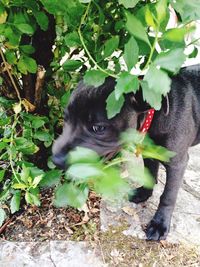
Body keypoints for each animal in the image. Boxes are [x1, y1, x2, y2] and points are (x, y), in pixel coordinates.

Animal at [52, 64, 200, 241]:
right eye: (66, 119)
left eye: (98, 128)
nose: (56, 160)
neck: (155, 115)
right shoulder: (148, 152)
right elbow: (150, 172)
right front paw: (144, 193)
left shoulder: (177, 163)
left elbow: (168, 196)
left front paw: (159, 224)